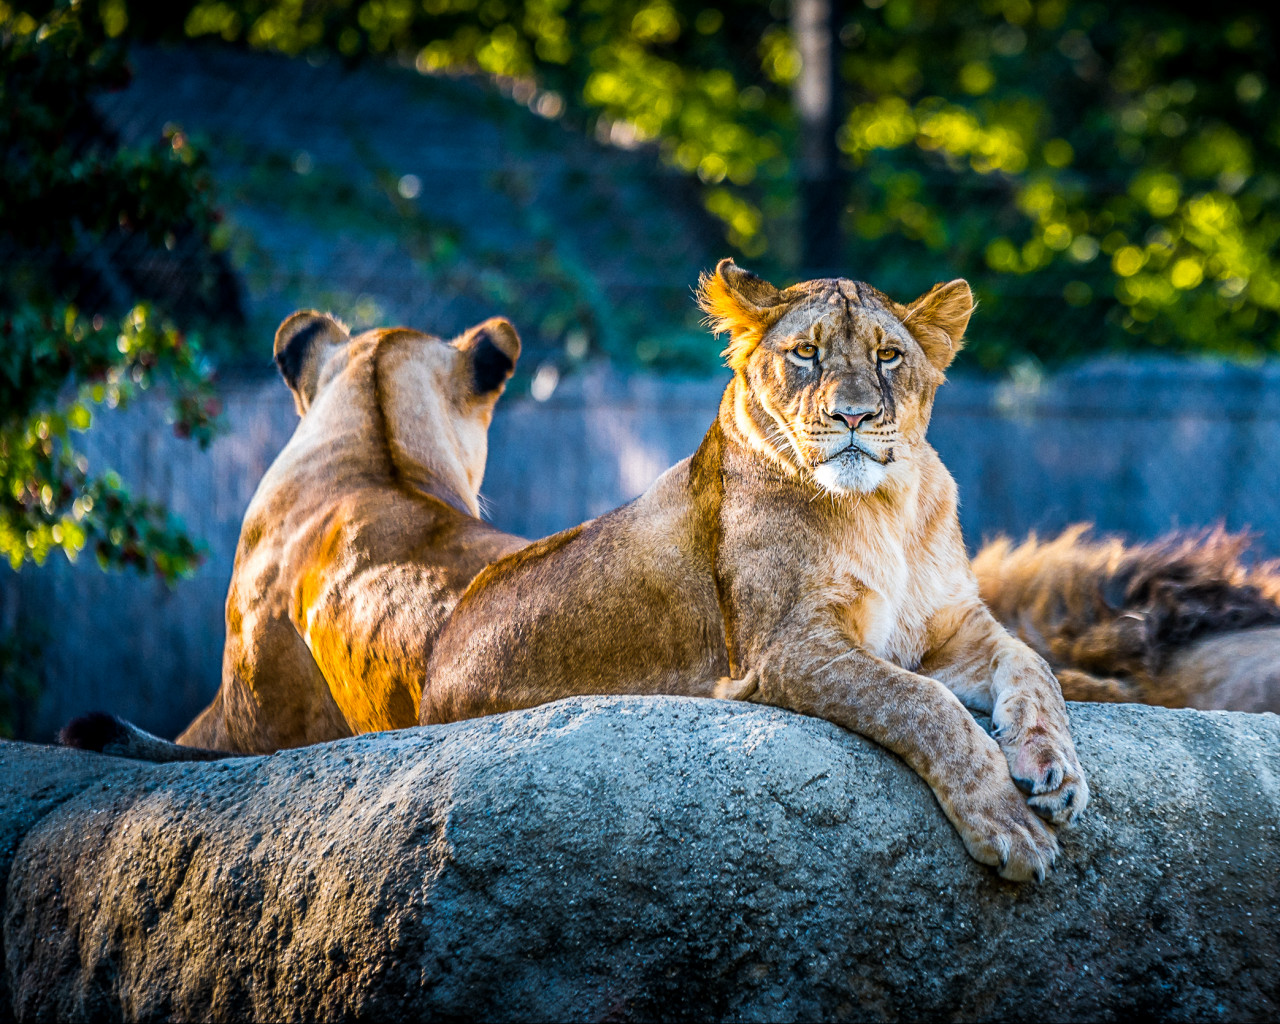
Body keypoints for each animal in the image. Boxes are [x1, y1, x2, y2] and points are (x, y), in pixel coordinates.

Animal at [420, 259, 1089, 881]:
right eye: (806, 353)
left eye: (889, 355)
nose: (853, 416)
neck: (885, 506)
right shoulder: (787, 649)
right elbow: (924, 704)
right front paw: (1008, 823)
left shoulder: (949, 627)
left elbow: (1035, 665)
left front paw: (1054, 771)